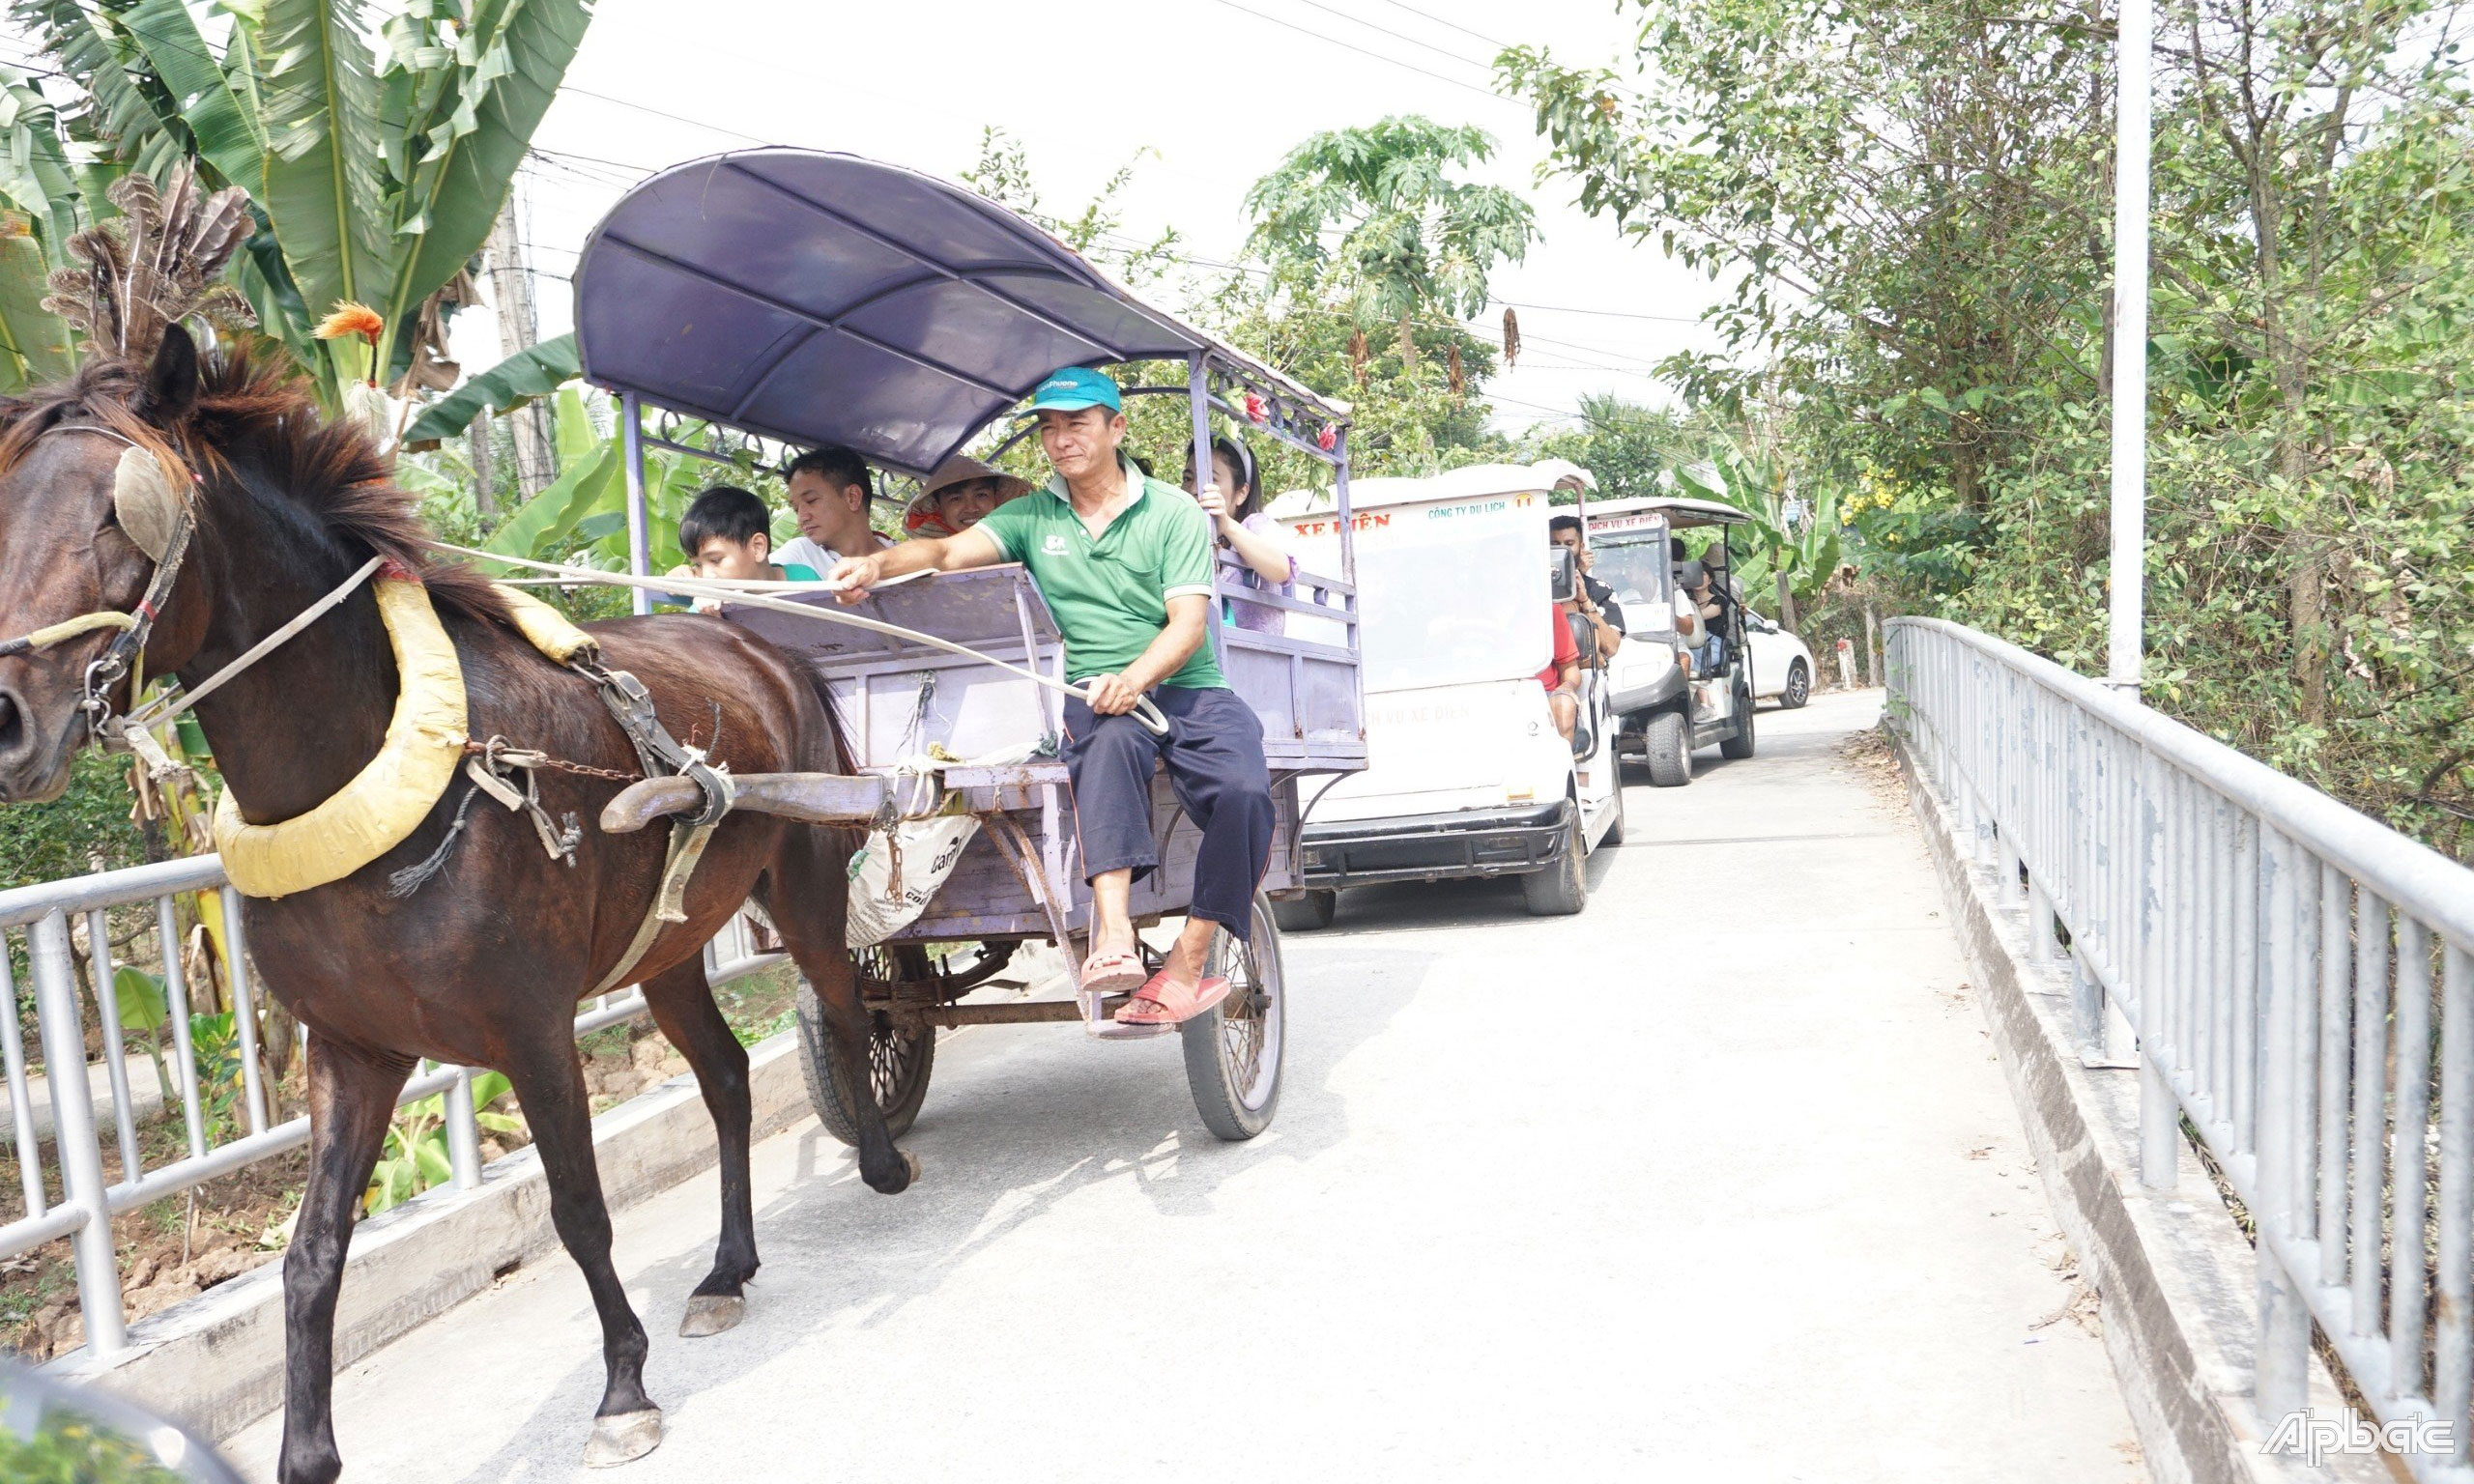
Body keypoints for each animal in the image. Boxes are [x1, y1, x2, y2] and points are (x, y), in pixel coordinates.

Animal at [0, 326, 920, 1484]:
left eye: (119, 513)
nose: (6, 720)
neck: (394, 772)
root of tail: (765, 646)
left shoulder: (532, 1030)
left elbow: (577, 1206)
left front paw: (623, 1388)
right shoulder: (352, 1049)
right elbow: (311, 1256)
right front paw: (308, 1453)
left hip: (800, 885)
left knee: (845, 1005)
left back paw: (882, 1158)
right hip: (664, 951)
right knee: (724, 1078)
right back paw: (726, 1268)